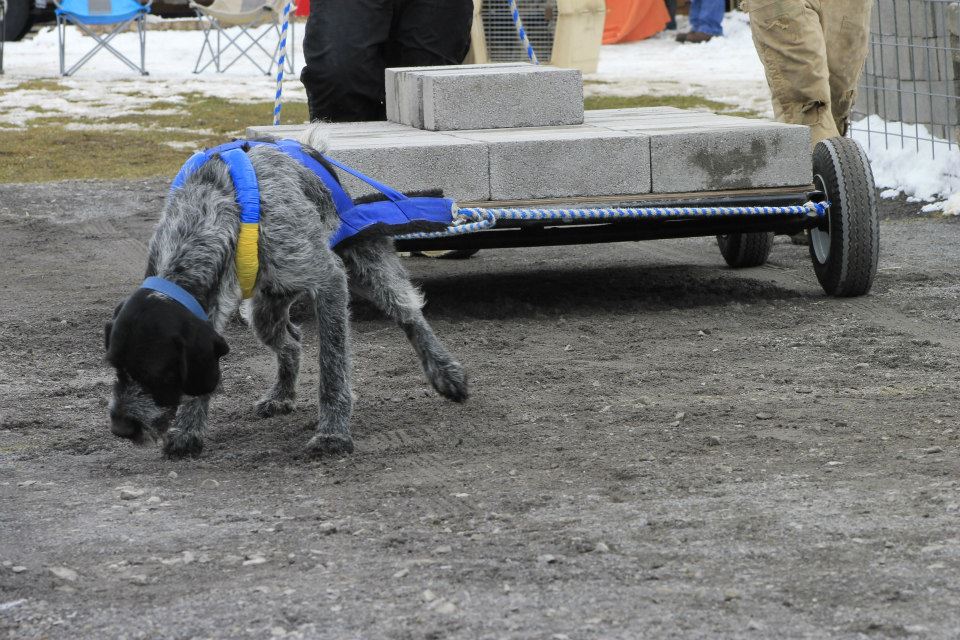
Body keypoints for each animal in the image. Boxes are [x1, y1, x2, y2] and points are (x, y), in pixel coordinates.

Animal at [105, 127, 464, 458]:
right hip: (264, 309)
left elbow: (332, 368)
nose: (120, 428)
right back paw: (281, 395)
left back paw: (445, 372)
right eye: (115, 366)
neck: (211, 211)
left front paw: (333, 434)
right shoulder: (209, 306)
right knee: (290, 342)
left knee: (409, 315)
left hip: (367, 265)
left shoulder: (330, 281)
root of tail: (309, 148)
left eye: (155, 371)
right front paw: (189, 430)